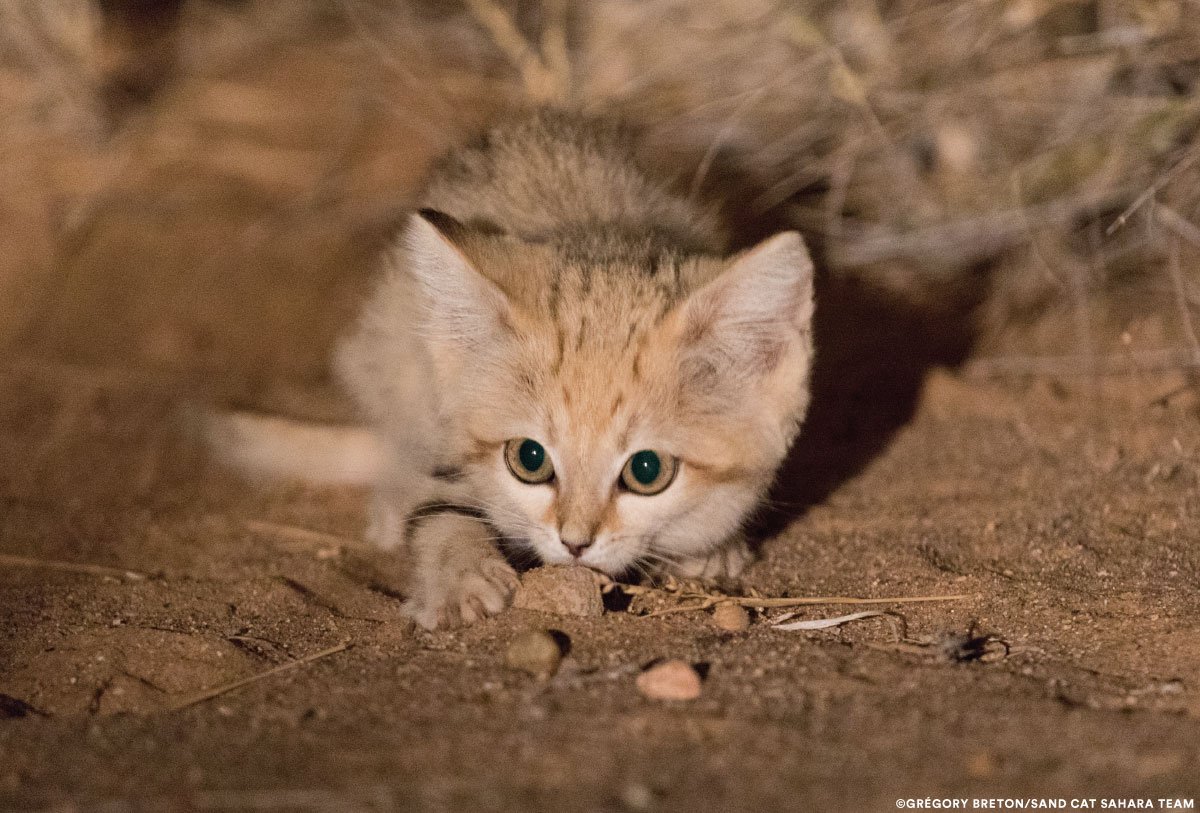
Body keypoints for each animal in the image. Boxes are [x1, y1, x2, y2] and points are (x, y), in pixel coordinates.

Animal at [328, 109, 816, 628]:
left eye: (647, 470)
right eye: (529, 458)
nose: (575, 544)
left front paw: (714, 549)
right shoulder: (434, 418)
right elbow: (438, 503)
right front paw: (458, 576)